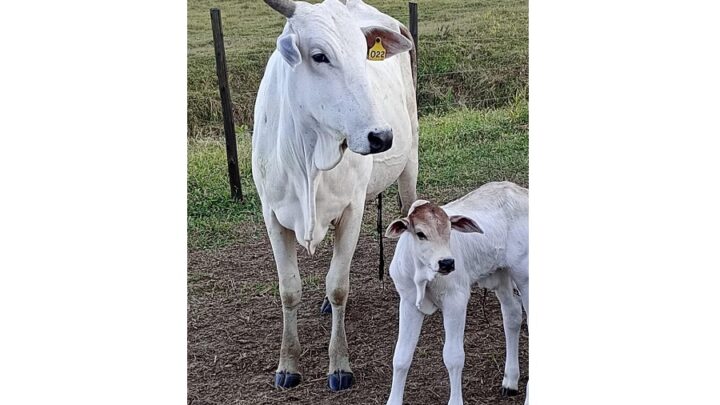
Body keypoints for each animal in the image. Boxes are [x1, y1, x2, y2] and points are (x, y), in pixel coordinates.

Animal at [253, 0, 420, 392]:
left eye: (363, 53)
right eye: (319, 56)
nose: (381, 136)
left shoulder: (352, 210)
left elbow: (338, 285)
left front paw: (339, 364)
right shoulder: (272, 216)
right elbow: (289, 289)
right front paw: (288, 364)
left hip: (410, 161)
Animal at [386, 182, 532, 404]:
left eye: (449, 231)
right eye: (420, 233)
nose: (446, 262)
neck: (423, 275)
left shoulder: (456, 300)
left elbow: (453, 357)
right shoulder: (408, 302)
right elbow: (401, 356)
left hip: (524, 275)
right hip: (501, 273)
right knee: (512, 314)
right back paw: (510, 381)